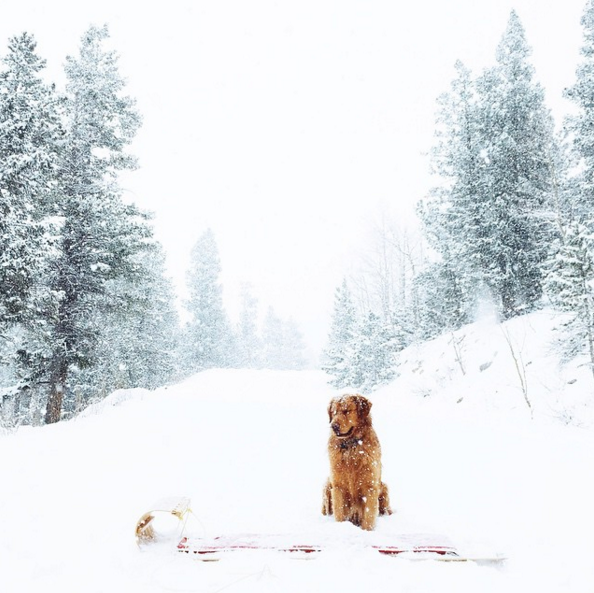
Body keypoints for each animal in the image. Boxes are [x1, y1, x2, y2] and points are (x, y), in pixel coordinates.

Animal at [322, 396, 390, 528]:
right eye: (333, 412)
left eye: (346, 410)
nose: (333, 426)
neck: (350, 446)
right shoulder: (337, 486)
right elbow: (339, 512)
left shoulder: (370, 486)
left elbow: (368, 517)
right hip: (327, 484)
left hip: (383, 487)